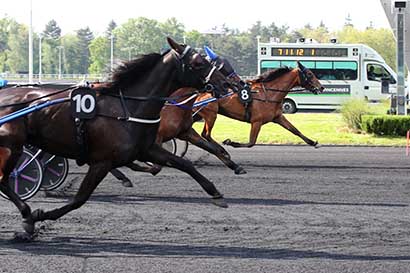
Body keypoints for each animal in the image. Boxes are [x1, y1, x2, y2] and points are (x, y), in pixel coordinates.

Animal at [0, 37, 234, 238]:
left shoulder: (147, 149)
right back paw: (27, 213)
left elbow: (185, 164)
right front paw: (39, 216)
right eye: (198, 62)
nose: (226, 85)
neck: (126, 107)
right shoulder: (102, 161)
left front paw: (216, 194)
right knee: (4, 180)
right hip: (14, 147)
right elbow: (80, 199)